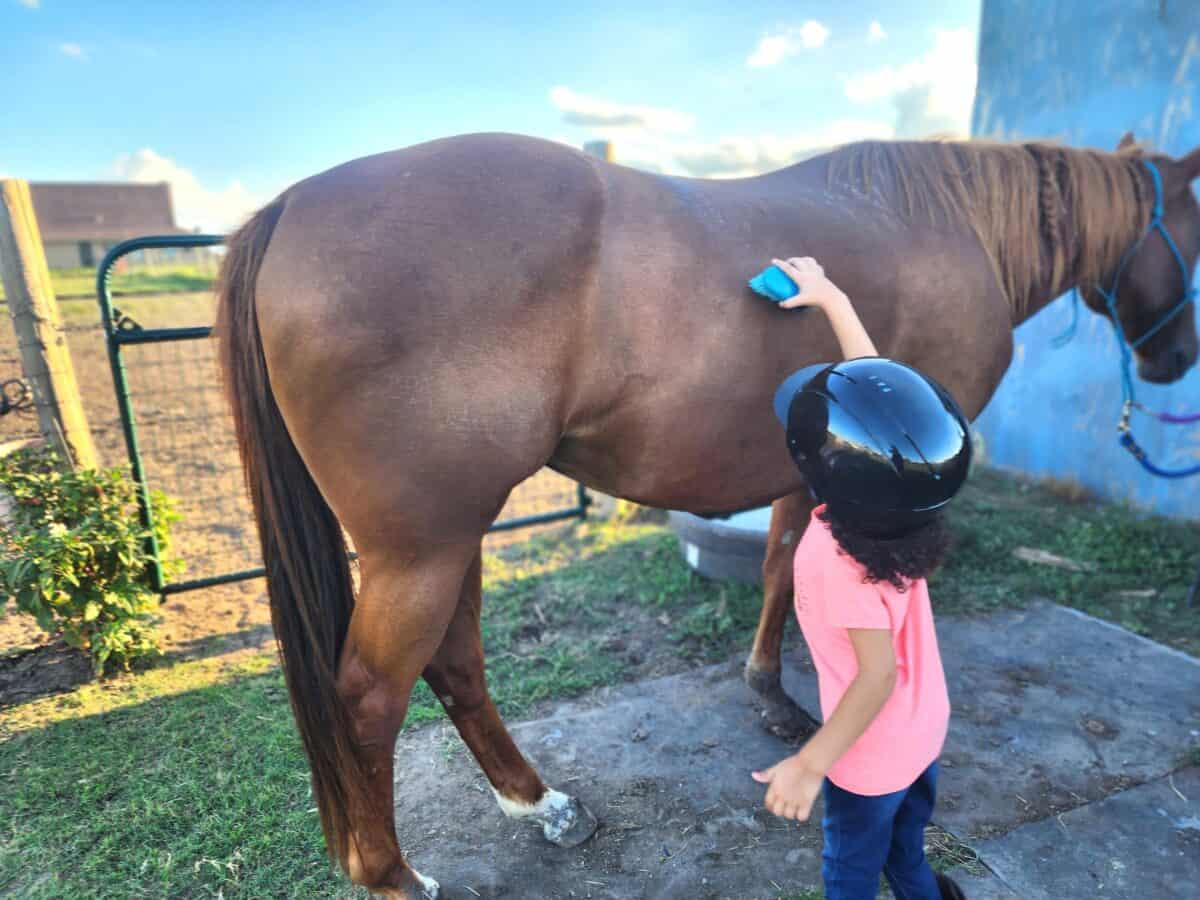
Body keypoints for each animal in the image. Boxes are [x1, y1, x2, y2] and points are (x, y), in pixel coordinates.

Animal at [216, 130, 1200, 897]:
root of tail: (290, 206)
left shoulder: (810, 467)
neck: (958, 226)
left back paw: (541, 805)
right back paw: (392, 874)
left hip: (452, 538)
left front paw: (771, 695)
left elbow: (782, 568)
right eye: (1194, 227)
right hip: (421, 548)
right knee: (370, 697)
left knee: (453, 664)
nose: (1174, 362)